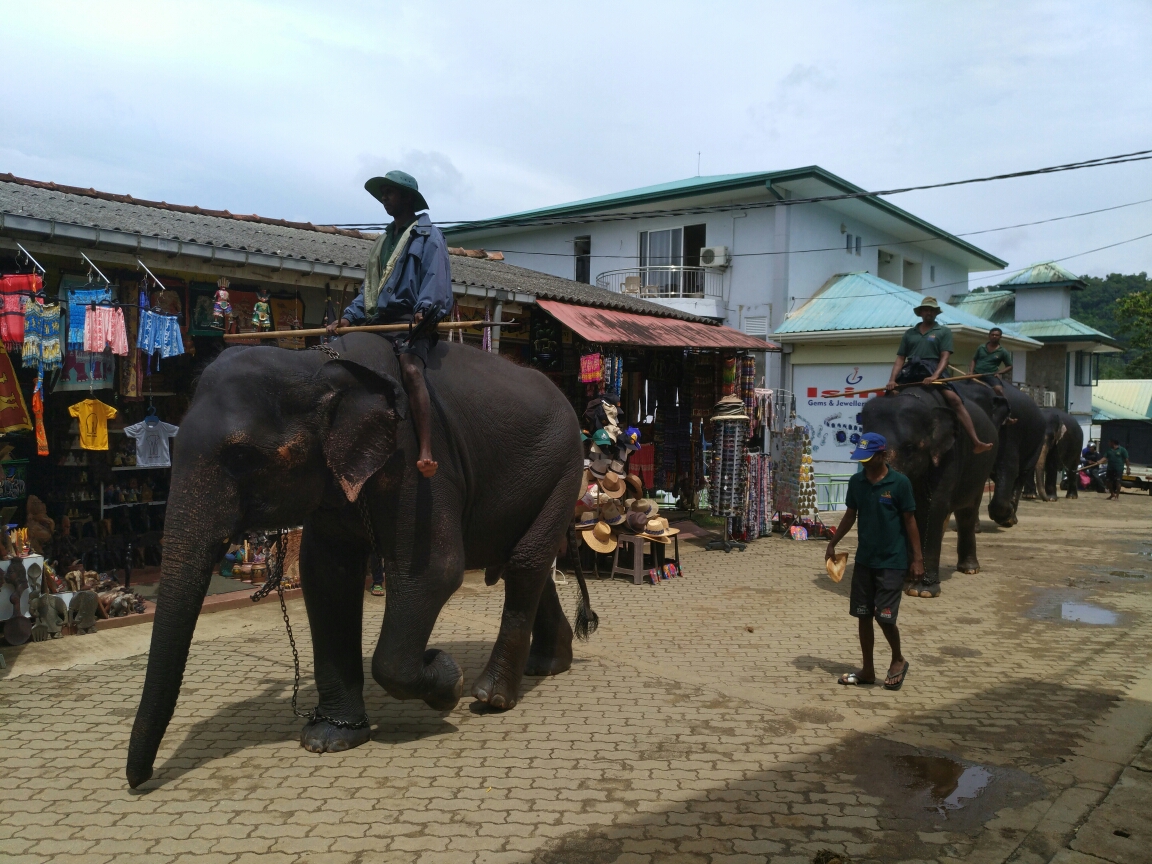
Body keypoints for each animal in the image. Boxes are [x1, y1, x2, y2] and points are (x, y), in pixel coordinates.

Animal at [126, 334, 594, 792]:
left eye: (242, 457)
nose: (138, 783)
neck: (317, 365)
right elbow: (326, 577)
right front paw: (330, 738)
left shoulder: (416, 463)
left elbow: (432, 570)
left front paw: (447, 679)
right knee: (526, 561)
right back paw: (546, 665)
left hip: (566, 467)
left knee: (525, 563)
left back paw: (489, 697)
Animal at [866, 382, 999, 599]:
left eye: (909, 448)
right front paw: (903, 580)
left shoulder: (949, 455)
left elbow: (933, 507)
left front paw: (922, 591)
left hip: (981, 470)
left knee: (967, 512)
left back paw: (969, 569)